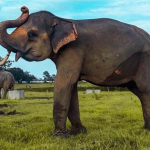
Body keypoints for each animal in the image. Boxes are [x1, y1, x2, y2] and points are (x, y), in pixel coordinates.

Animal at [0, 5, 150, 137]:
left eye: (32, 34)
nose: (23, 8)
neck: (60, 19)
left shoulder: (73, 50)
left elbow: (64, 83)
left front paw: (59, 136)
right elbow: (71, 87)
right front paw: (78, 132)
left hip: (145, 60)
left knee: (144, 88)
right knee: (140, 92)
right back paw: (146, 129)